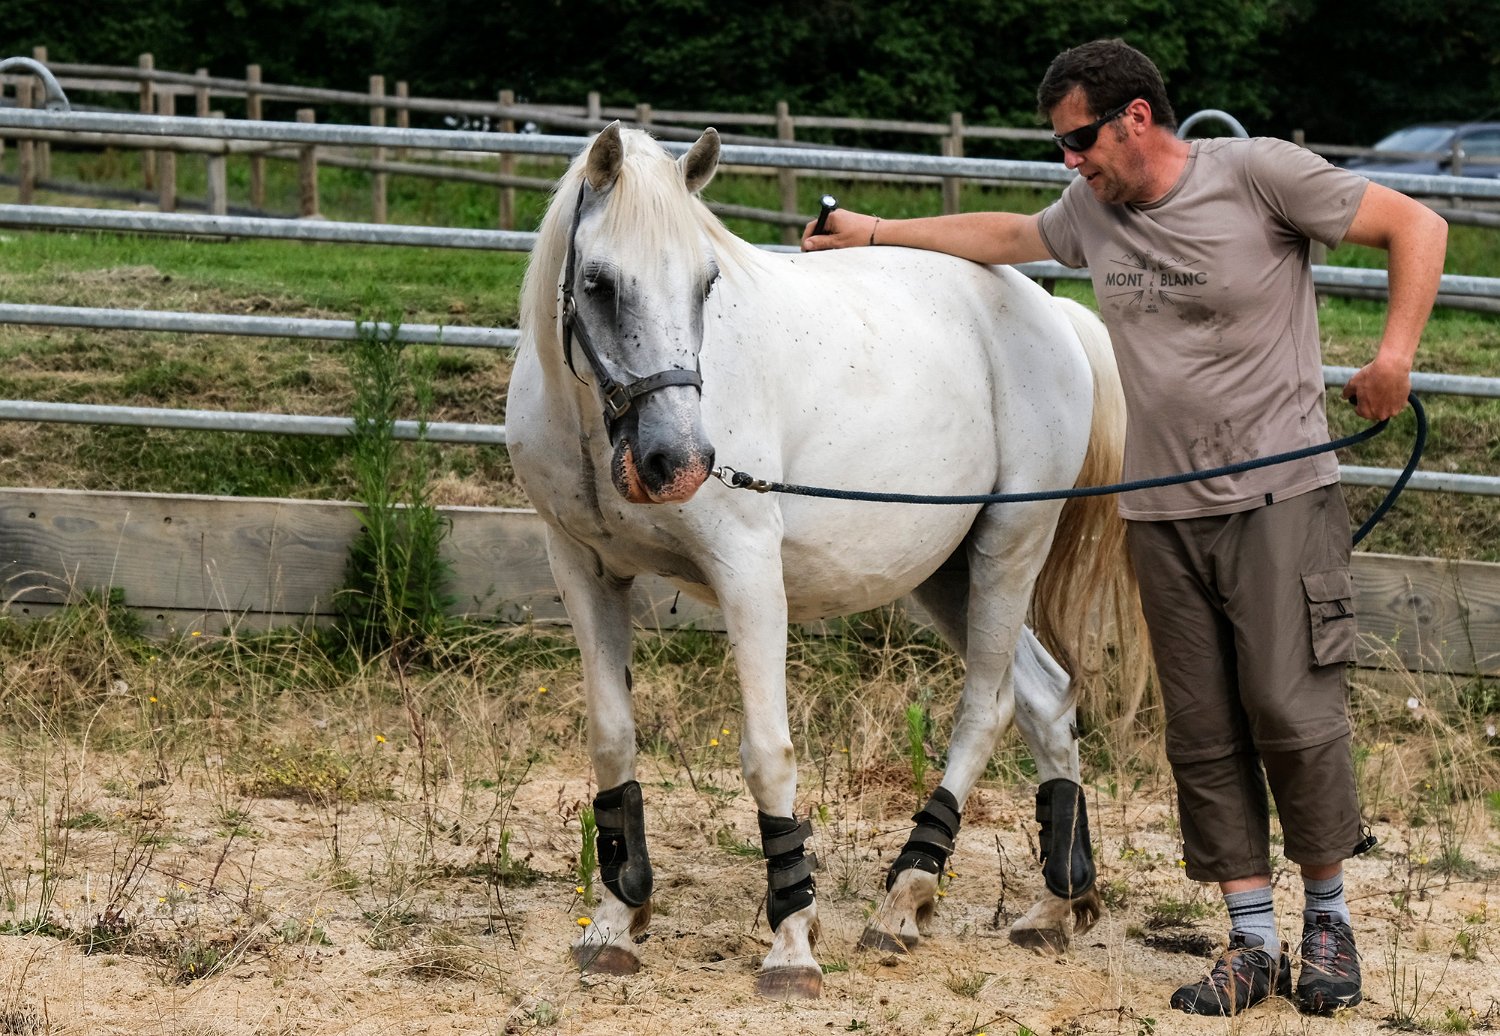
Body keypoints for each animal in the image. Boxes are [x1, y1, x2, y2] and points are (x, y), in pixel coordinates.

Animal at [507, 122, 1139, 1000]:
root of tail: (1053, 312)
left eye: (706, 282)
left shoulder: (747, 571)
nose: (680, 461)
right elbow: (612, 739)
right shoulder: (584, 569)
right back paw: (1052, 906)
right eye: (598, 284)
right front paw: (615, 922)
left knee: (990, 707)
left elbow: (767, 754)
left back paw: (904, 900)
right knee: (1046, 697)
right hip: (949, 574)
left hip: (1010, 547)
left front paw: (792, 944)